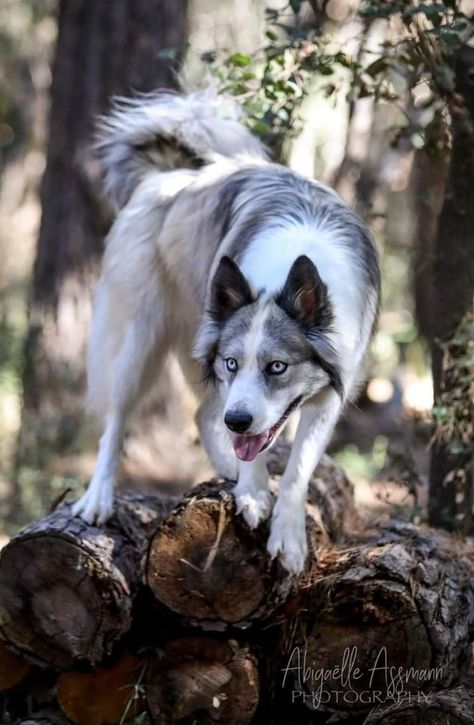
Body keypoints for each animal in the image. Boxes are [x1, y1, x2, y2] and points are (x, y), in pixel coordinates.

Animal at [71, 89, 382, 572]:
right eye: (234, 362)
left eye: (278, 367)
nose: (237, 420)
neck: (284, 273)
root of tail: (172, 174)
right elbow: (253, 442)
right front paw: (252, 494)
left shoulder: (330, 391)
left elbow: (297, 469)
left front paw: (289, 538)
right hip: (138, 344)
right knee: (117, 421)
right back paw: (98, 499)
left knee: (203, 414)